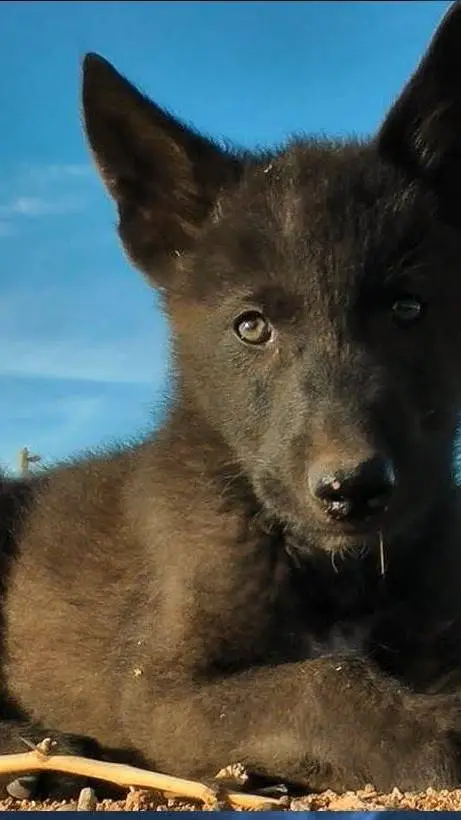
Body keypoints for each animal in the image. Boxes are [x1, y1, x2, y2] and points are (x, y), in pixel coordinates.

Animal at [2, 0, 461, 799]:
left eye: (408, 310)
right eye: (252, 326)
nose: (352, 490)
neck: (332, 572)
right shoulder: (159, 689)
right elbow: (323, 681)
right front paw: (432, 730)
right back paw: (35, 751)